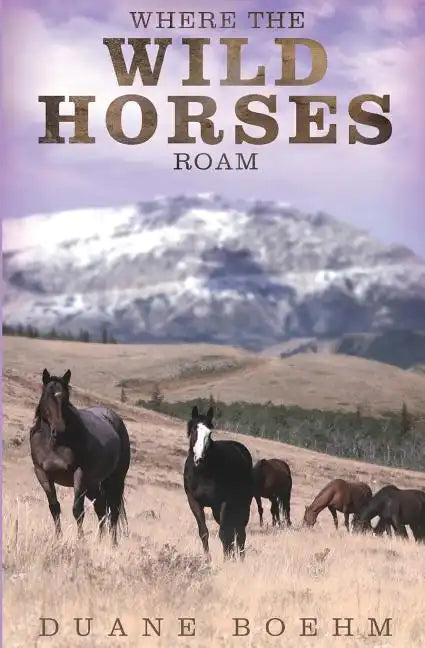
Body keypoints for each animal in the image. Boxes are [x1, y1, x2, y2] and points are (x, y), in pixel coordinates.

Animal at [30, 368, 131, 544]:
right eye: (48, 396)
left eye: (65, 397)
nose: (59, 429)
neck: (54, 444)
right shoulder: (42, 473)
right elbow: (54, 507)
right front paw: (58, 538)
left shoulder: (79, 474)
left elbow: (78, 510)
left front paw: (80, 541)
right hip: (93, 483)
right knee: (101, 507)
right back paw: (100, 540)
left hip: (115, 479)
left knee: (114, 510)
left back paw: (113, 543)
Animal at [183, 406, 253, 560]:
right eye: (194, 430)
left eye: (209, 433)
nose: (199, 459)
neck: (203, 473)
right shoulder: (194, 502)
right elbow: (204, 532)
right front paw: (208, 560)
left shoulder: (224, 502)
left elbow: (224, 534)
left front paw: (227, 560)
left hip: (242, 505)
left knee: (240, 532)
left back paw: (241, 558)